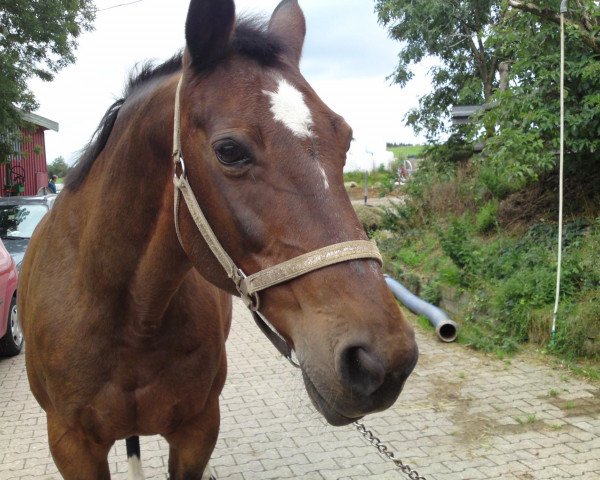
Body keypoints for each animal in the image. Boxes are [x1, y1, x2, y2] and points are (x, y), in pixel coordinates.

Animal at [19, 0, 418, 478]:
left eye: (345, 140)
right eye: (229, 151)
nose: (384, 360)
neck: (128, 321)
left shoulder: (198, 430)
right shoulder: (72, 446)